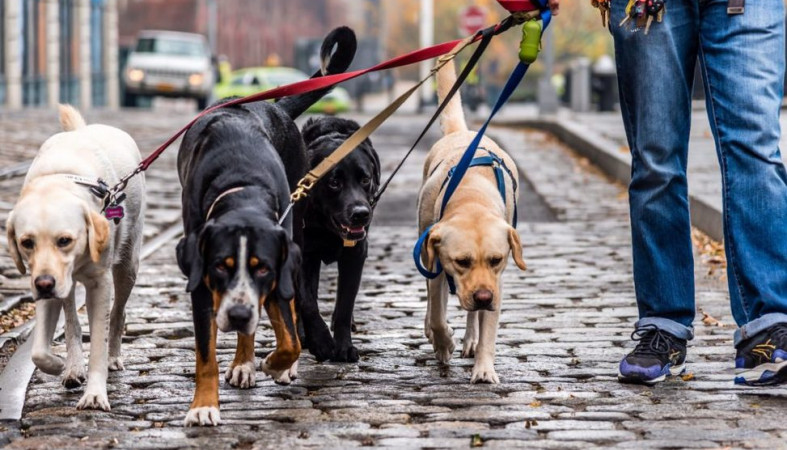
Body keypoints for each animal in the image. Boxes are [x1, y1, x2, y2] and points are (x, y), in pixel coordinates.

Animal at [6, 106, 146, 412]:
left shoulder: (100, 284)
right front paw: (60, 365)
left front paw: (95, 394)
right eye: (27, 243)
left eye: (65, 240)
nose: (45, 284)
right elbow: (38, 351)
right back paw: (72, 367)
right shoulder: (43, 282)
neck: (60, 179)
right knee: (72, 321)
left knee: (118, 312)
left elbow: (98, 343)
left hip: (128, 266)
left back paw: (113, 357)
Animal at [178, 26, 358, 428]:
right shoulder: (202, 279)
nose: (239, 315)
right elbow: (205, 354)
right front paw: (203, 406)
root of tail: (272, 105)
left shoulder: (281, 266)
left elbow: (290, 336)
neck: (243, 185)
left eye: (262, 268)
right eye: (220, 266)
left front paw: (278, 364)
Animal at [298, 117, 378, 362]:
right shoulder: (302, 253)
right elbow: (307, 301)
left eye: (365, 179)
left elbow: (345, 305)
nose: (361, 214)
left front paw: (344, 348)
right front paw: (322, 342)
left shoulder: (356, 254)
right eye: (334, 182)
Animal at [418, 59, 528, 384]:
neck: (471, 196)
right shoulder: (436, 264)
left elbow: (488, 328)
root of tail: (463, 132)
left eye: (496, 259)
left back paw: (470, 339)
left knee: (472, 315)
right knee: (435, 302)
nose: (482, 296)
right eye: (462, 261)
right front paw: (443, 343)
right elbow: (438, 313)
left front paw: (484, 369)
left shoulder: (496, 282)